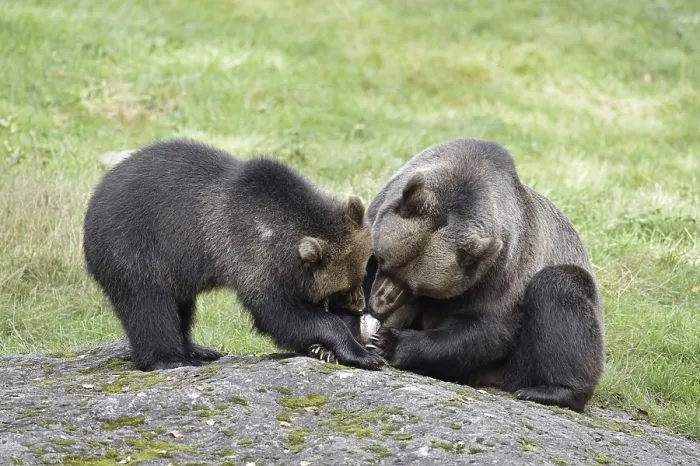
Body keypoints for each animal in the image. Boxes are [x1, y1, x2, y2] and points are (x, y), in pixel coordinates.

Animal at [83, 139, 385, 372]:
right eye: (343, 288)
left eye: (362, 271)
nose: (359, 306)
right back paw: (169, 360)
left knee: (182, 307)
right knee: (149, 305)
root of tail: (95, 198)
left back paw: (198, 349)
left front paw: (329, 349)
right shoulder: (250, 258)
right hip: (134, 248)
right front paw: (362, 354)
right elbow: (280, 315)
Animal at [365, 138, 605, 412]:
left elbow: (485, 330)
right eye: (382, 262)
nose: (378, 305)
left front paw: (388, 342)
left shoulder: (499, 271)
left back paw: (550, 391)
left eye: (415, 288)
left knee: (559, 290)